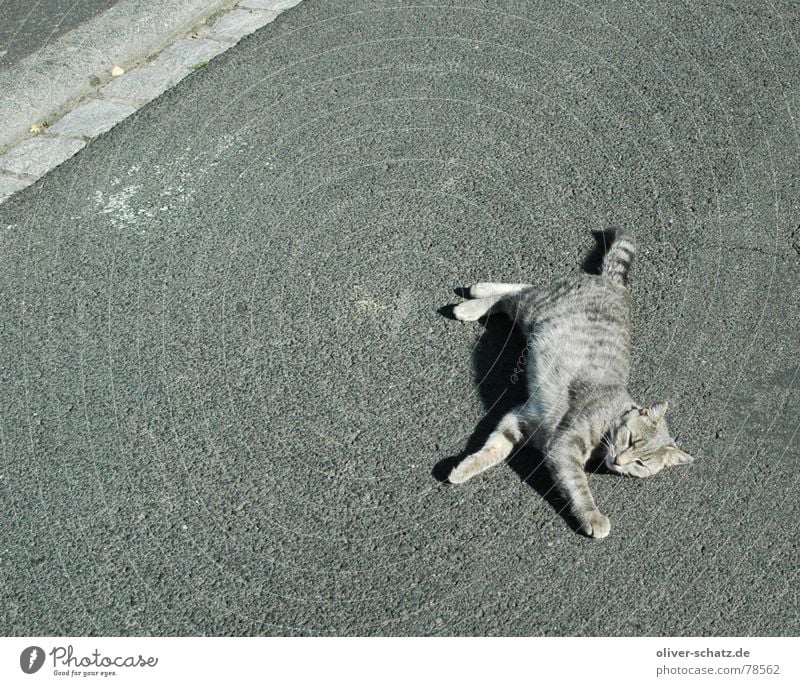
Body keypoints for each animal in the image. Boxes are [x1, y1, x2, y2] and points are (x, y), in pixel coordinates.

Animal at [446, 234, 692, 540]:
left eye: (641, 463)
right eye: (631, 441)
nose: (620, 462)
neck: (612, 416)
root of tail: (614, 283)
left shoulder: (520, 420)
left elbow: (493, 449)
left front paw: (466, 467)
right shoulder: (563, 447)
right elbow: (578, 487)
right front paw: (594, 517)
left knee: (526, 286)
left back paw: (479, 290)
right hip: (535, 309)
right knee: (512, 296)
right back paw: (472, 304)